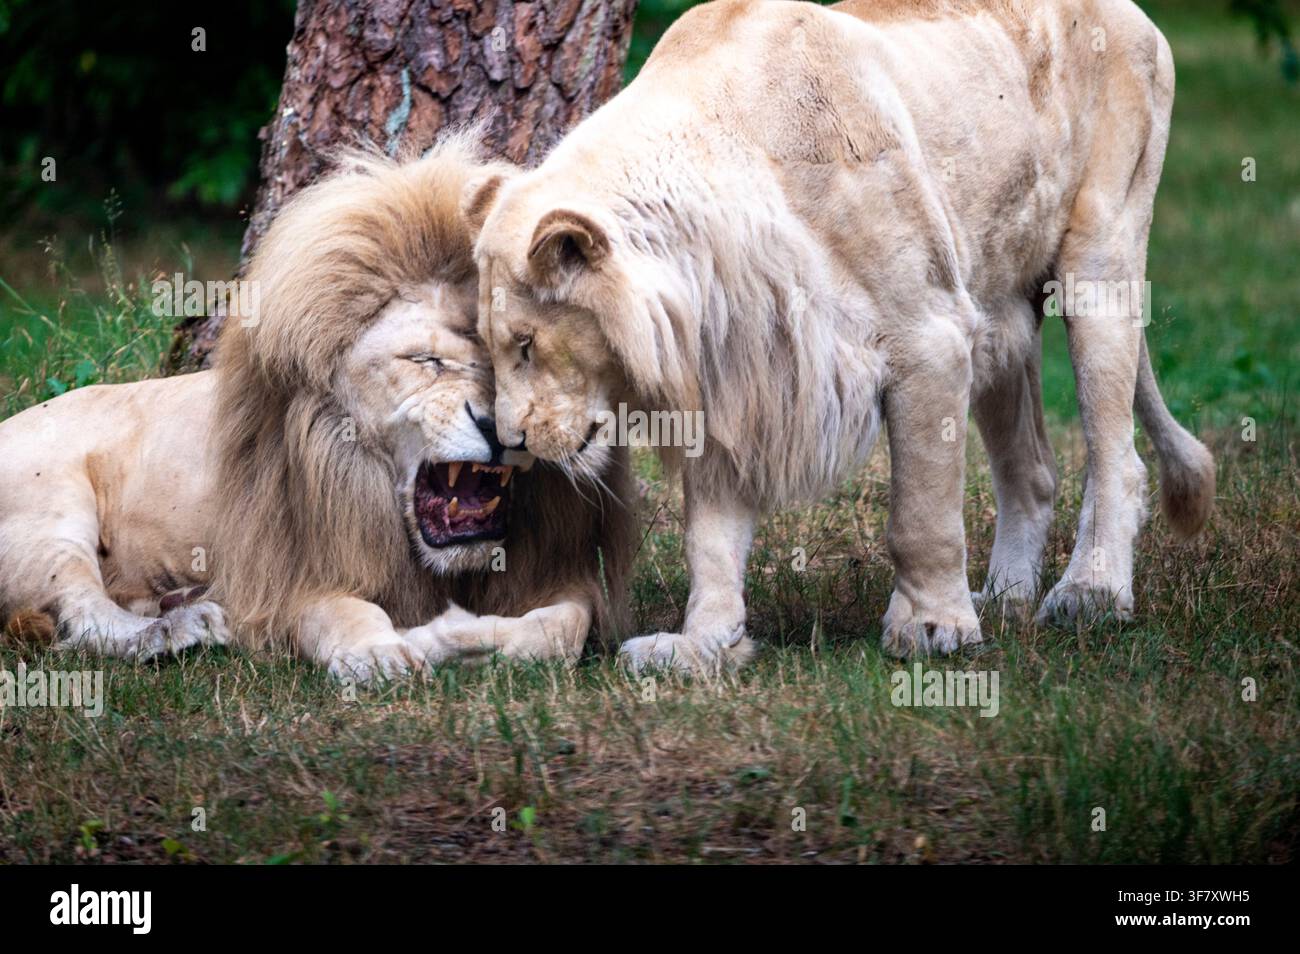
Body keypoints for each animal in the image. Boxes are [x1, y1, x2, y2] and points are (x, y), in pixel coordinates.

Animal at [0, 136, 634, 681]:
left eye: (508, 360)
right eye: (425, 360)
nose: (498, 429)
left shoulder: (565, 574)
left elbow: (558, 630)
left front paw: (455, 637)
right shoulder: (292, 581)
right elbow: (348, 614)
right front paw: (384, 652)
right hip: (51, 510)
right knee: (82, 612)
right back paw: (178, 629)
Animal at [462, 0, 1215, 673]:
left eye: (526, 344)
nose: (509, 440)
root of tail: (1135, 14)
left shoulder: (929, 336)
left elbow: (921, 517)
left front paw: (934, 630)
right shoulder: (736, 375)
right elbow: (709, 538)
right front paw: (702, 646)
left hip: (1100, 257)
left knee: (1118, 456)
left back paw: (1090, 594)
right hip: (999, 308)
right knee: (1030, 470)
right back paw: (1003, 600)